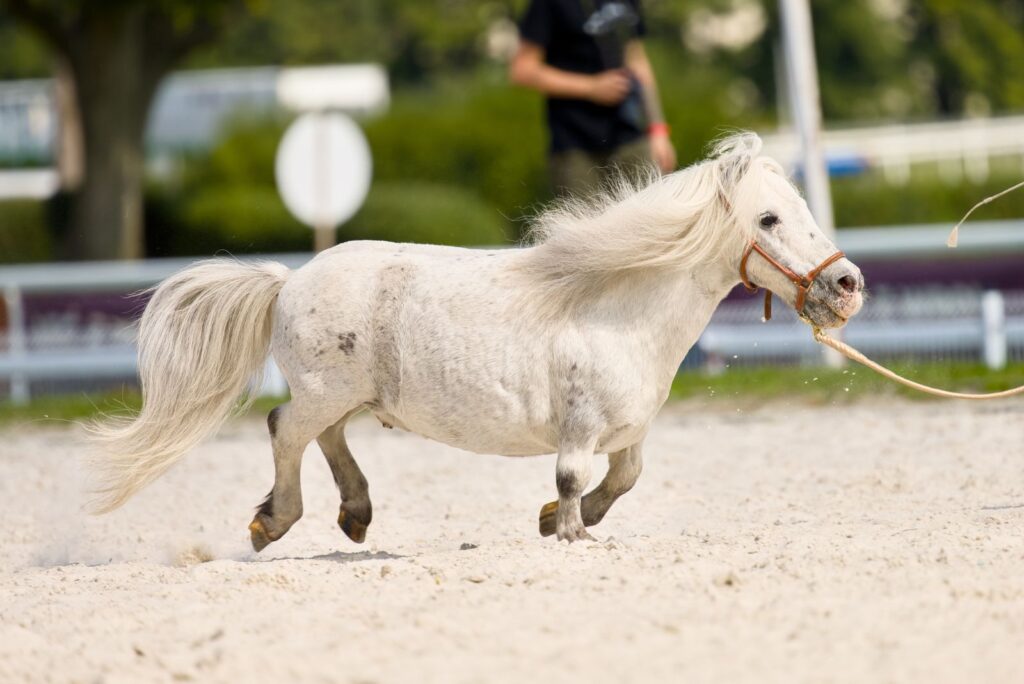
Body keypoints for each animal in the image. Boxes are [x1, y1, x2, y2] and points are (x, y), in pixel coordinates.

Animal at [88, 133, 864, 548]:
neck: (618, 310)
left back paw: (356, 513)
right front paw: (569, 530)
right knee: (286, 429)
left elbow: (623, 480)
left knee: (325, 436)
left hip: (347, 392)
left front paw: (554, 522)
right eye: (768, 220)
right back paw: (275, 523)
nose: (847, 284)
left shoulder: (628, 432)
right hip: (321, 389)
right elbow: (574, 482)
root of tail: (288, 280)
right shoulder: (579, 430)